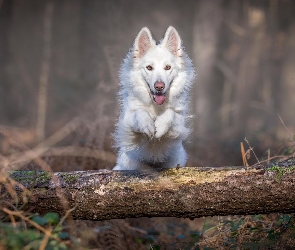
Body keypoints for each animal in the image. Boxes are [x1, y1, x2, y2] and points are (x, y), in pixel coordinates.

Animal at [114, 26, 197, 170]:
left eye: (168, 67)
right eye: (149, 67)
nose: (159, 86)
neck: (156, 107)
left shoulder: (179, 125)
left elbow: (170, 113)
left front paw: (160, 126)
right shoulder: (127, 122)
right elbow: (139, 112)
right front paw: (147, 125)